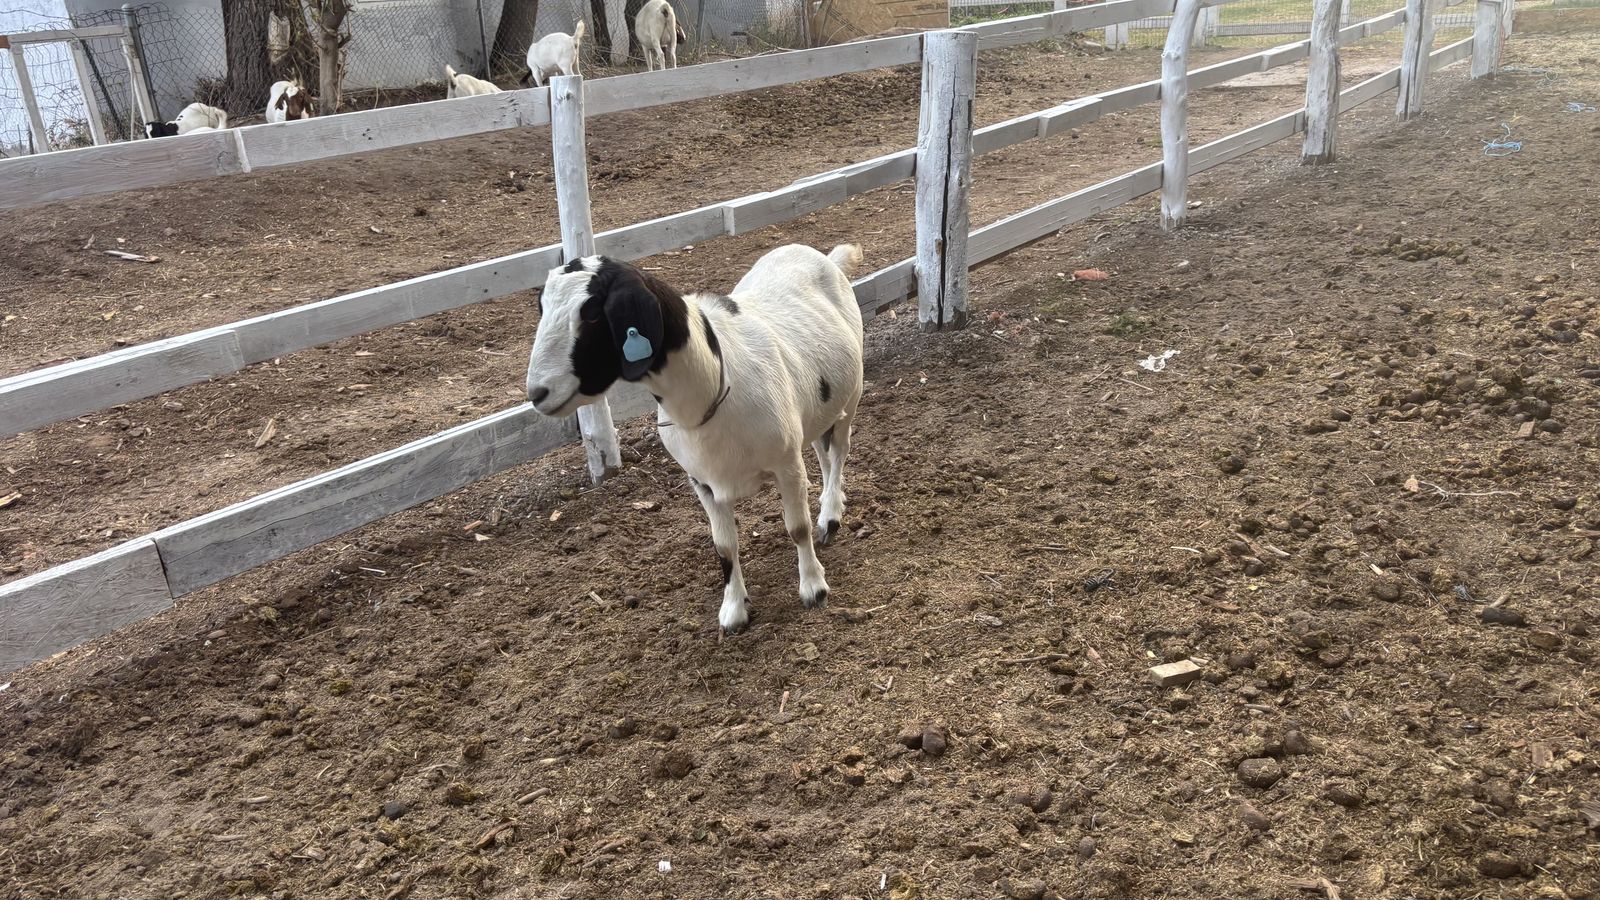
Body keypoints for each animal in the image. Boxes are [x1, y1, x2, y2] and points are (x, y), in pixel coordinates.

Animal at [526, 243, 865, 634]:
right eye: (542, 307)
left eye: (593, 314)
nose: (537, 393)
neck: (716, 376)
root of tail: (822, 256)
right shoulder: (702, 482)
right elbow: (724, 547)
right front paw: (733, 611)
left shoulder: (786, 464)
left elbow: (797, 528)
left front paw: (813, 588)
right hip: (817, 409)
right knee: (824, 453)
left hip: (850, 396)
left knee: (838, 453)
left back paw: (830, 514)